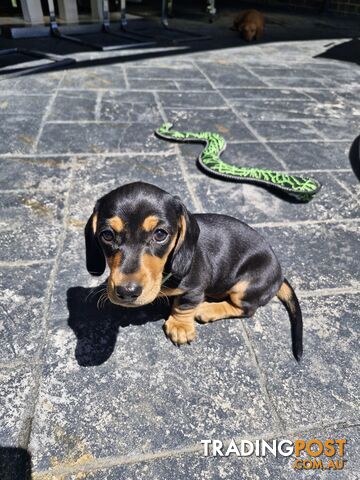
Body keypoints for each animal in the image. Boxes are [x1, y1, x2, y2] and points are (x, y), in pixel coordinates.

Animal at [86, 181, 302, 360]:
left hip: (245, 287)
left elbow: (184, 305)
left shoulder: (194, 288)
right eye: (107, 235)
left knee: (247, 309)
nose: (127, 292)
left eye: (160, 234)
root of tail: (280, 275)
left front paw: (180, 326)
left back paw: (207, 309)